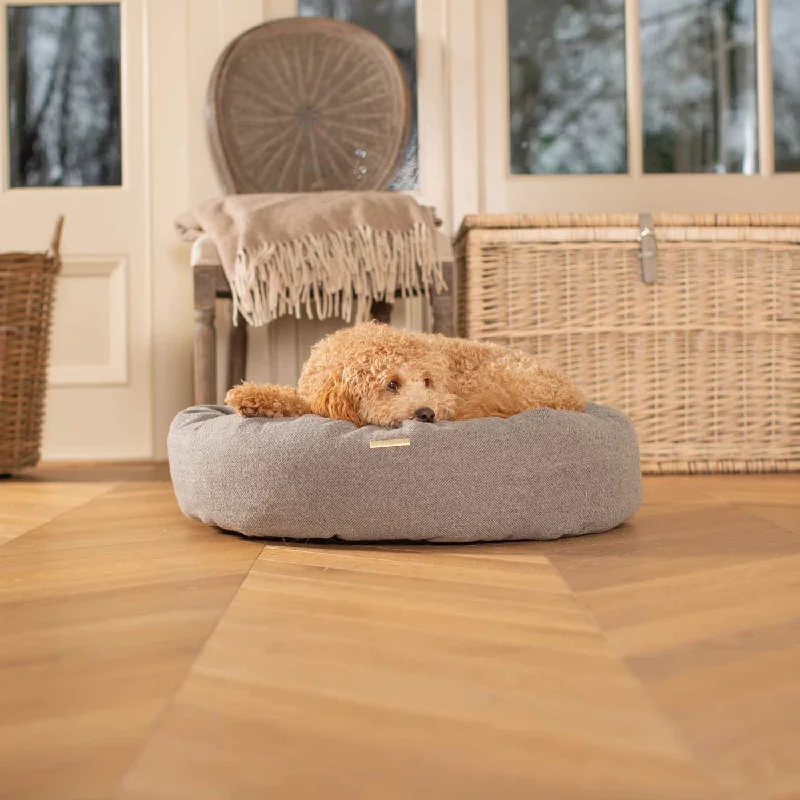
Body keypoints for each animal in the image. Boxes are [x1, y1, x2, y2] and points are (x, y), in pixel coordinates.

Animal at [225, 322, 588, 428]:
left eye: (427, 382)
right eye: (391, 384)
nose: (426, 413)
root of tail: (575, 398)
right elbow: (294, 399)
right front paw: (251, 397)